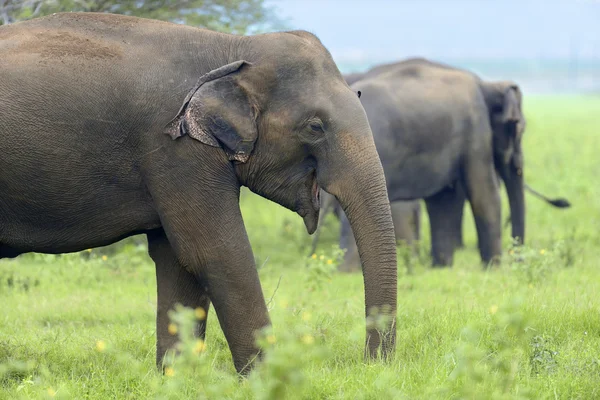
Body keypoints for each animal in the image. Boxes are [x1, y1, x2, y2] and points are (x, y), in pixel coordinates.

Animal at [0, 12, 398, 376]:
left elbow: (176, 259)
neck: (234, 49)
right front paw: (267, 380)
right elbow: (214, 251)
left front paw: (175, 379)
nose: (370, 364)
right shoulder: (176, 149)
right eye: (315, 127)